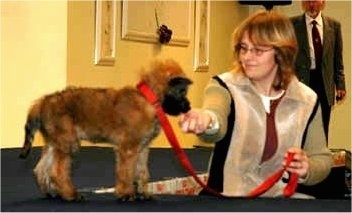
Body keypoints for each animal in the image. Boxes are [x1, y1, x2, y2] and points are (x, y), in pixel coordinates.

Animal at [18, 58, 192, 201]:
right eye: (182, 91)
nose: (188, 107)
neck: (148, 99)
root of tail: (43, 101)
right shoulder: (128, 149)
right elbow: (126, 172)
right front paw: (126, 193)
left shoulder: (142, 148)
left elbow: (142, 172)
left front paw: (143, 193)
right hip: (67, 143)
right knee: (57, 171)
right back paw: (70, 194)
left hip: (55, 144)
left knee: (41, 168)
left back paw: (52, 192)